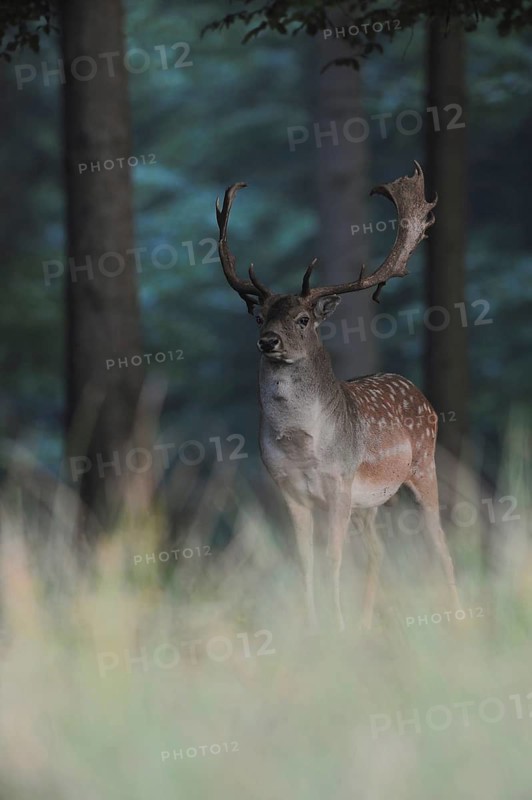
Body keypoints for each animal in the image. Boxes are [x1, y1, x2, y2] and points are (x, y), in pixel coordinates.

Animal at [215, 162, 459, 632]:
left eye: (303, 318)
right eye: (259, 316)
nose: (268, 341)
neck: (301, 445)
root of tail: (420, 394)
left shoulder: (340, 483)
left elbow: (333, 559)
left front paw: (337, 626)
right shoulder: (289, 490)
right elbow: (306, 561)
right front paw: (315, 626)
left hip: (423, 464)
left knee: (440, 539)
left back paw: (457, 615)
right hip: (370, 503)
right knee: (380, 550)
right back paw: (367, 623)